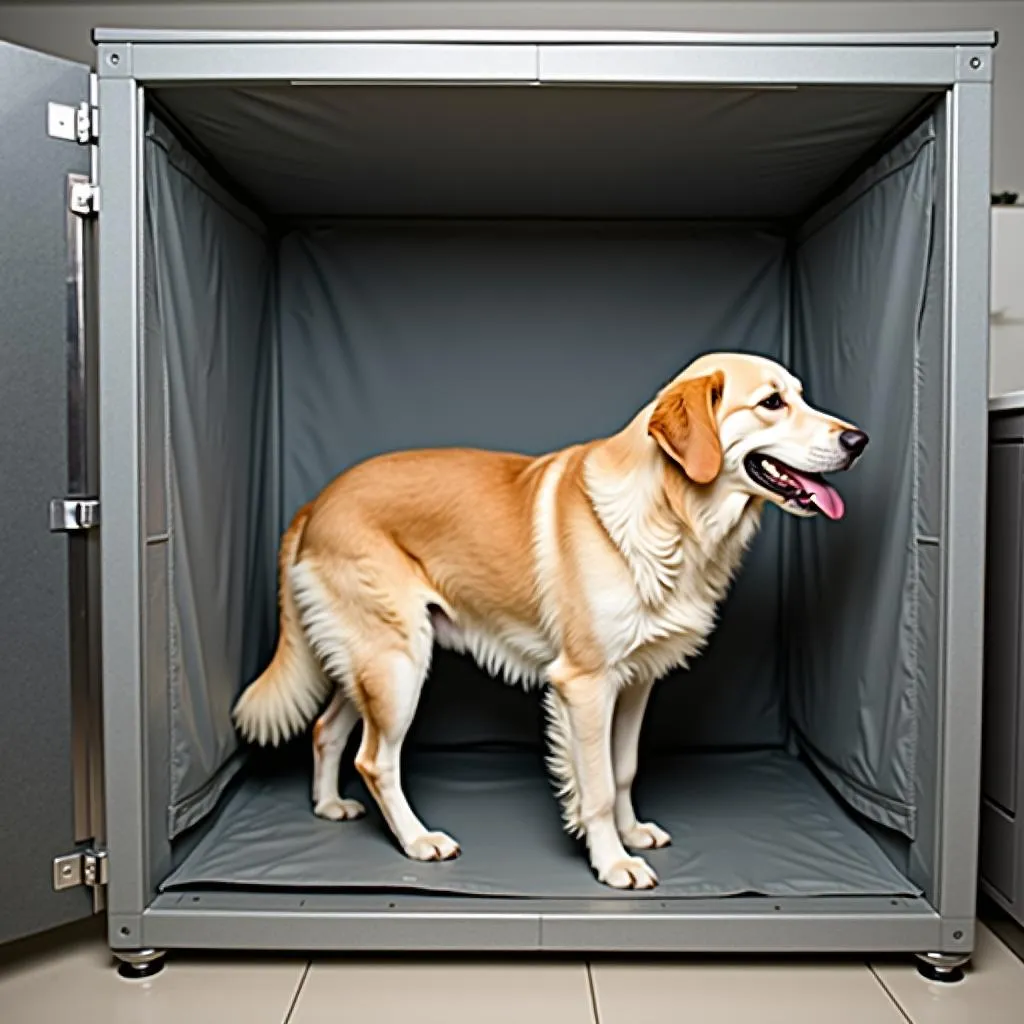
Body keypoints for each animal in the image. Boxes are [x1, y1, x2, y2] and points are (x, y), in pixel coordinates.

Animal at [230, 352, 864, 888]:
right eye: (772, 403)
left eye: (800, 396)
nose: (859, 440)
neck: (672, 513)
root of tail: (318, 502)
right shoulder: (584, 684)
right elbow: (598, 786)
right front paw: (612, 861)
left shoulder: (635, 682)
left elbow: (624, 768)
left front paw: (631, 833)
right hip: (397, 663)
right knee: (374, 759)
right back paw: (417, 840)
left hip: (367, 660)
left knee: (326, 729)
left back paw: (328, 806)